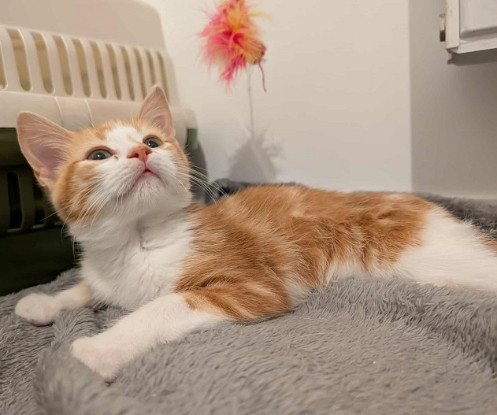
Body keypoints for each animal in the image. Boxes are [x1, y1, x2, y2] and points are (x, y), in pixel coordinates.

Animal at [14, 85, 497, 381]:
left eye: (152, 141)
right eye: (98, 155)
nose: (140, 152)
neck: (137, 239)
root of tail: (424, 204)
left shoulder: (251, 286)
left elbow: (161, 306)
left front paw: (96, 350)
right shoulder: (106, 268)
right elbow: (89, 286)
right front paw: (46, 302)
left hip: (427, 256)